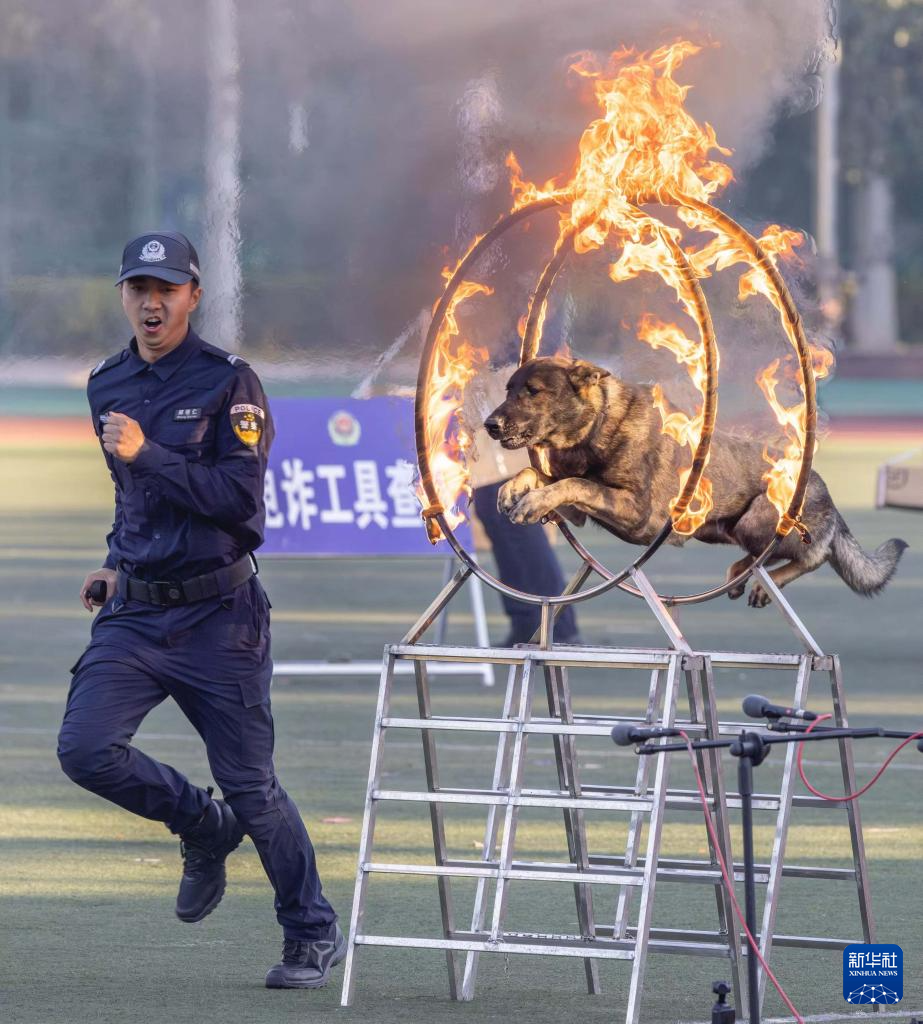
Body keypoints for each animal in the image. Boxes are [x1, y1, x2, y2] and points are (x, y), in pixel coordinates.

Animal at [483, 356, 905, 602]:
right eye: (508, 389)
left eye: (533, 391)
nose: (489, 424)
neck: (595, 427)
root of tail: (824, 490)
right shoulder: (581, 512)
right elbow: (541, 474)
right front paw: (513, 490)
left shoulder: (637, 512)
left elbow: (573, 483)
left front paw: (531, 500)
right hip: (724, 529)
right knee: (766, 556)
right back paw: (740, 574)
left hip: (760, 520)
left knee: (812, 554)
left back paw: (764, 579)